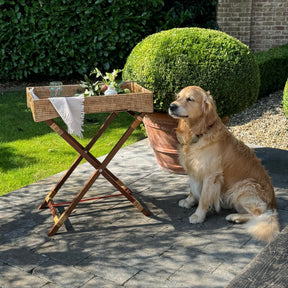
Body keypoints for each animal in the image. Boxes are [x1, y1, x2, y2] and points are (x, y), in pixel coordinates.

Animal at [169, 86, 280, 243]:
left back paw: (234, 217)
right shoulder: (193, 170)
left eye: (190, 99)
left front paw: (198, 215)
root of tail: (273, 204)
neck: (199, 133)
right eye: (178, 97)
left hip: (243, 186)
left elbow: (204, 198)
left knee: (259, 214)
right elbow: (191, 189)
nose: (171, 106)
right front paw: (188, 201)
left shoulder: (211, 176)